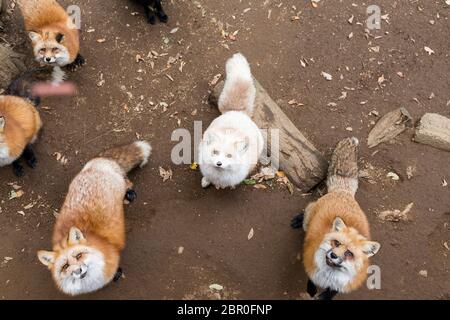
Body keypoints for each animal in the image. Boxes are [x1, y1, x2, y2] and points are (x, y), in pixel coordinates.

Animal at [37, 141, 153, 296]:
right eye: (65, 266)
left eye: (79, 256)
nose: (78, 270)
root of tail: (98, 161)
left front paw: (117, 274)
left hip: (121, 184)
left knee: (128, 182)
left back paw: (130, 194)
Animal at [290, 138, 382, 300]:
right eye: (336, 243)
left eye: (349, 254)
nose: (333, 255)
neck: (329, 274)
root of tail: (343, 191)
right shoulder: (310, 261)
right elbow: (311, 279)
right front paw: (312, 291)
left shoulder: (346, 282)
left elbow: (333, 291)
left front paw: (325, 296)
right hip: (308, 218)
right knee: (307, 210)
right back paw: (298, 219)